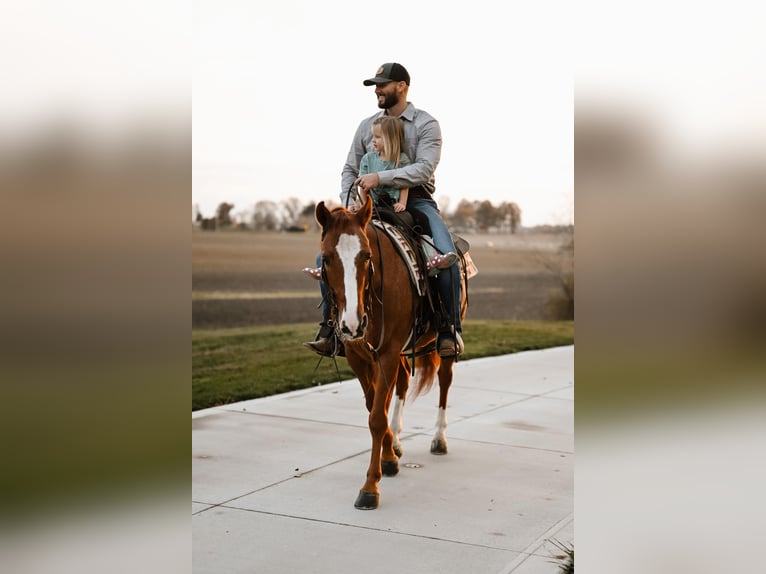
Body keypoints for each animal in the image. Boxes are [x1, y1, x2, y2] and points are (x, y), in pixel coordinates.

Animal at [316, 199, 472, 512]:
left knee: (444, 382)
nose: (352, 323)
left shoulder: (386, 353)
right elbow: (375, 407)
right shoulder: (359, 356)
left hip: (443, 344)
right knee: (401, 383)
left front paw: (370, 487)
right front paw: (389, 456)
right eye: (326, 258)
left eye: (366, 256)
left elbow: (377, 416)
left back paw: (439, 438)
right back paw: (398, 440)